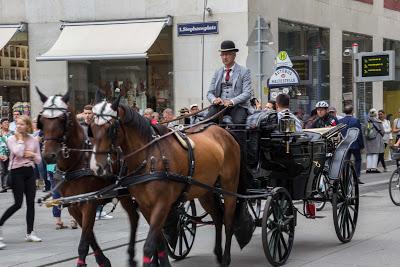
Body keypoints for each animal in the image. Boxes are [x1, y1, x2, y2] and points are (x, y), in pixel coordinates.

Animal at [34, 89, 141, 267]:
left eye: (63, 119)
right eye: (41, 121)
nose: (48, 156)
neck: (75, 162)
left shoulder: (89, 203)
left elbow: (84, 242)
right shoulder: (73, 205)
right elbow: (89, 236)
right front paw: (103, 261)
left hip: (126, 193)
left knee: (135, 217)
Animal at [90, 99, 241, 267]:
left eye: (110, 128)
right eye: (91, 127)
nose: (96, 167)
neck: (150, 157)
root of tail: (224, 132)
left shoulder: (162, 204)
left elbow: (149, 246)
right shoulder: (145, 206)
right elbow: (159, 241)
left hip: (229, 188)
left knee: (228, 222)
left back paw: (226, 259)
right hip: (205, 191)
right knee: (218, 218)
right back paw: (219, 254)